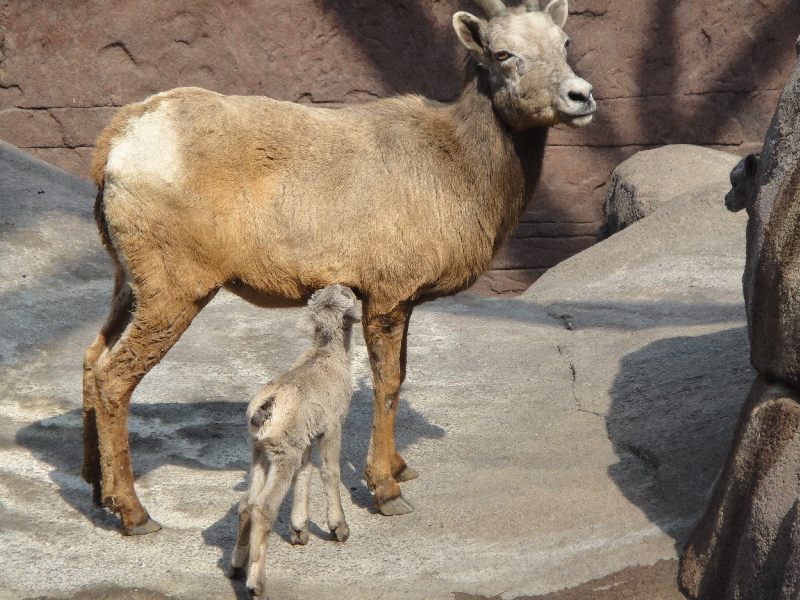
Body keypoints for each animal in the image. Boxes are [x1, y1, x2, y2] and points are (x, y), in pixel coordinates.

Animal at [81, 0, 592, 536]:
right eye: (502, 53)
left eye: (565, 43)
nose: (581, 96)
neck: (458, 170)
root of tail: (113, 148)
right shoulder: (388, 292)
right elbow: (387, 382)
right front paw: (386, 490)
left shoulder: (402, 299)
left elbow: (401, 375)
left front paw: (400, 468)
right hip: (174, 288)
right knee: (113, 378)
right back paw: (134, 513)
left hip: (128, 280)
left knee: (91, 358)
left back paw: (97, 488)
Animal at [228, 284, 360, 596]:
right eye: (347, 294)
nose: (350, 286)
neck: (327, 354)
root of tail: (265, 410)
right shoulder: (331, 426)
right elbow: (329, 472)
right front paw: (338, 527)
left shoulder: (306, 436)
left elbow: (306, 472)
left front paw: (300, 529)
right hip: (283, 453)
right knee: (263, 508)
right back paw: (256, 583)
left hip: (261, 451)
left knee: (247, 503)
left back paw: (237, 565)